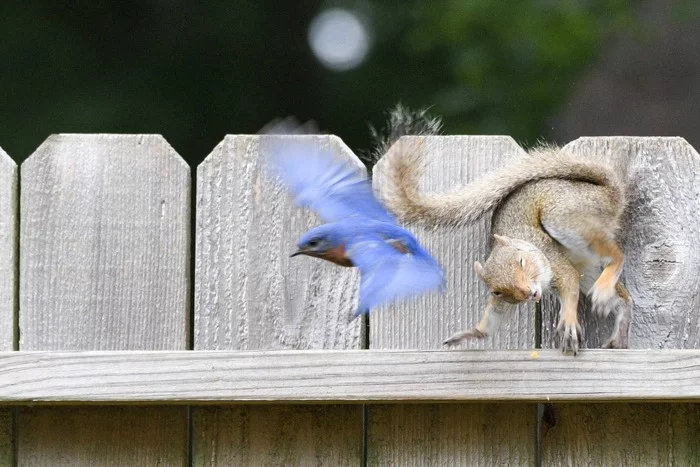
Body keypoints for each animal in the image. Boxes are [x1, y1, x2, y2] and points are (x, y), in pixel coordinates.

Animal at [372, 106, 636, 354]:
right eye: (497, 291)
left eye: (521, 261)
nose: (528, 293)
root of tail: (610, 192)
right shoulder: (506, 301)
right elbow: (491, 320)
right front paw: (469, 334)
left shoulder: (553, 260)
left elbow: (569, 284)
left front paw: (569, 321)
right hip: (588, 271)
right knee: (622, 299)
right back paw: (620, 332)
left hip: (565, 217)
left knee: (616, 255)